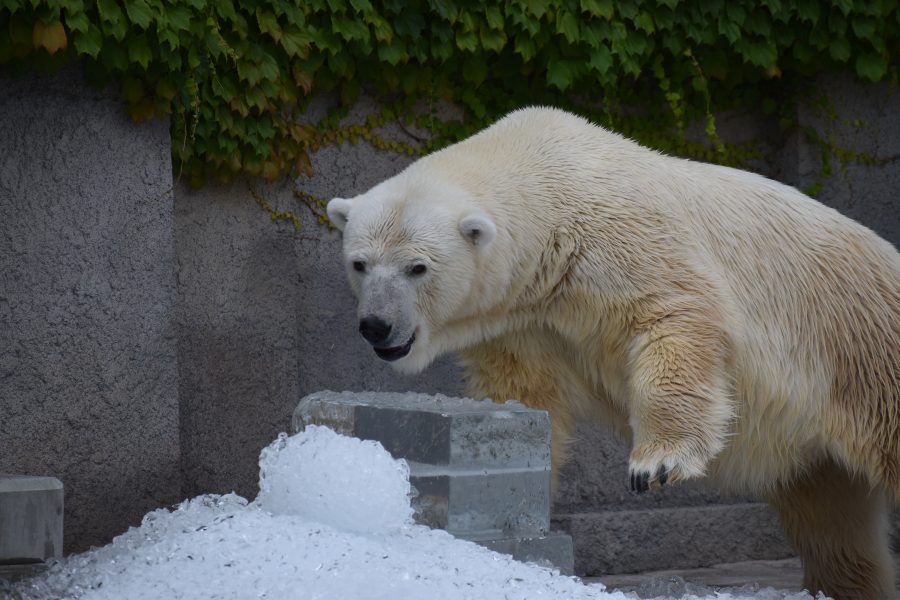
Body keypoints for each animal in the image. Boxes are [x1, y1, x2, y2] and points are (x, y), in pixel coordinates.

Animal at [328, 108, 900, 600]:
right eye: (360, 263)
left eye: (417, 267)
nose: (376, 325)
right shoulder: (524, 320)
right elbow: (525, 393)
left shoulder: (622, 242)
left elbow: (675, 319)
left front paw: (656, 464)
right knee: (829, 515)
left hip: (861, 349)